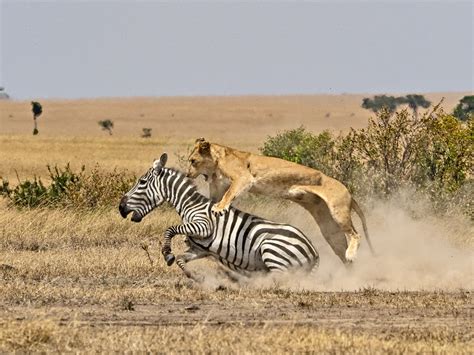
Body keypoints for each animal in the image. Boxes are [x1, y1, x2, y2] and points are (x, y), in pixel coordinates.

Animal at [118, 154, 320, 282]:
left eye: (142, 182)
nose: (120, 207)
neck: (190, 205)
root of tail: (314, 253)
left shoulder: (204, 226)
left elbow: (170, 229)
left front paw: (167, 252)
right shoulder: (199, 249)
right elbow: (181, 260)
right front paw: (195, 277)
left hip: (271, 249)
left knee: (280, 278)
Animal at [185, 138, 374, 264]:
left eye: (193, 161)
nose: (187, 174)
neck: (216, 165)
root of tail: (348, 191)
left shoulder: (244, 178)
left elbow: (229, 195)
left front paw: (219, 208)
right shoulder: (218, 187)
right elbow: (214, 198)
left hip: (338, 211)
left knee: (355, 234)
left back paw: (351, 254)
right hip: (327, 225)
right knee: (340, 243)